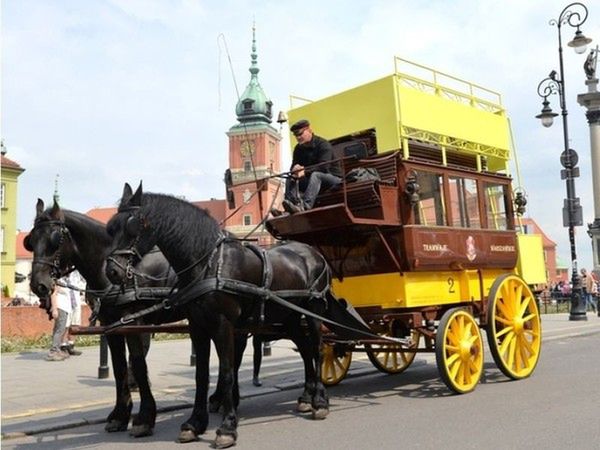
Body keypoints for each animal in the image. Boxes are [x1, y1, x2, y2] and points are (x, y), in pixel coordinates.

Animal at [25, 199, 182, 438]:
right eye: (31, 241)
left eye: (54, 240)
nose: (38, 285)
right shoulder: (111, 325)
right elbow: (119, 368)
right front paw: (120, 415)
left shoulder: (134, 322)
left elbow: (138, 364)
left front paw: (145, 418)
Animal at [105, 182, 330, 446]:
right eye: (110, 229)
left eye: (132, 226)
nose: (112, 272)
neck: (209, 264)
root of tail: (313, 252)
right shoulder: (197, 326)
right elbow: (201, 375)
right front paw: (195, 423)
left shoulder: (224, 325)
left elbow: (227, 371)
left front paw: (227, 427)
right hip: (289, 317)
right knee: (305, 349)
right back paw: (307, 396)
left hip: (313, 313)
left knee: (316, 350)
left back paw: (320, 400)